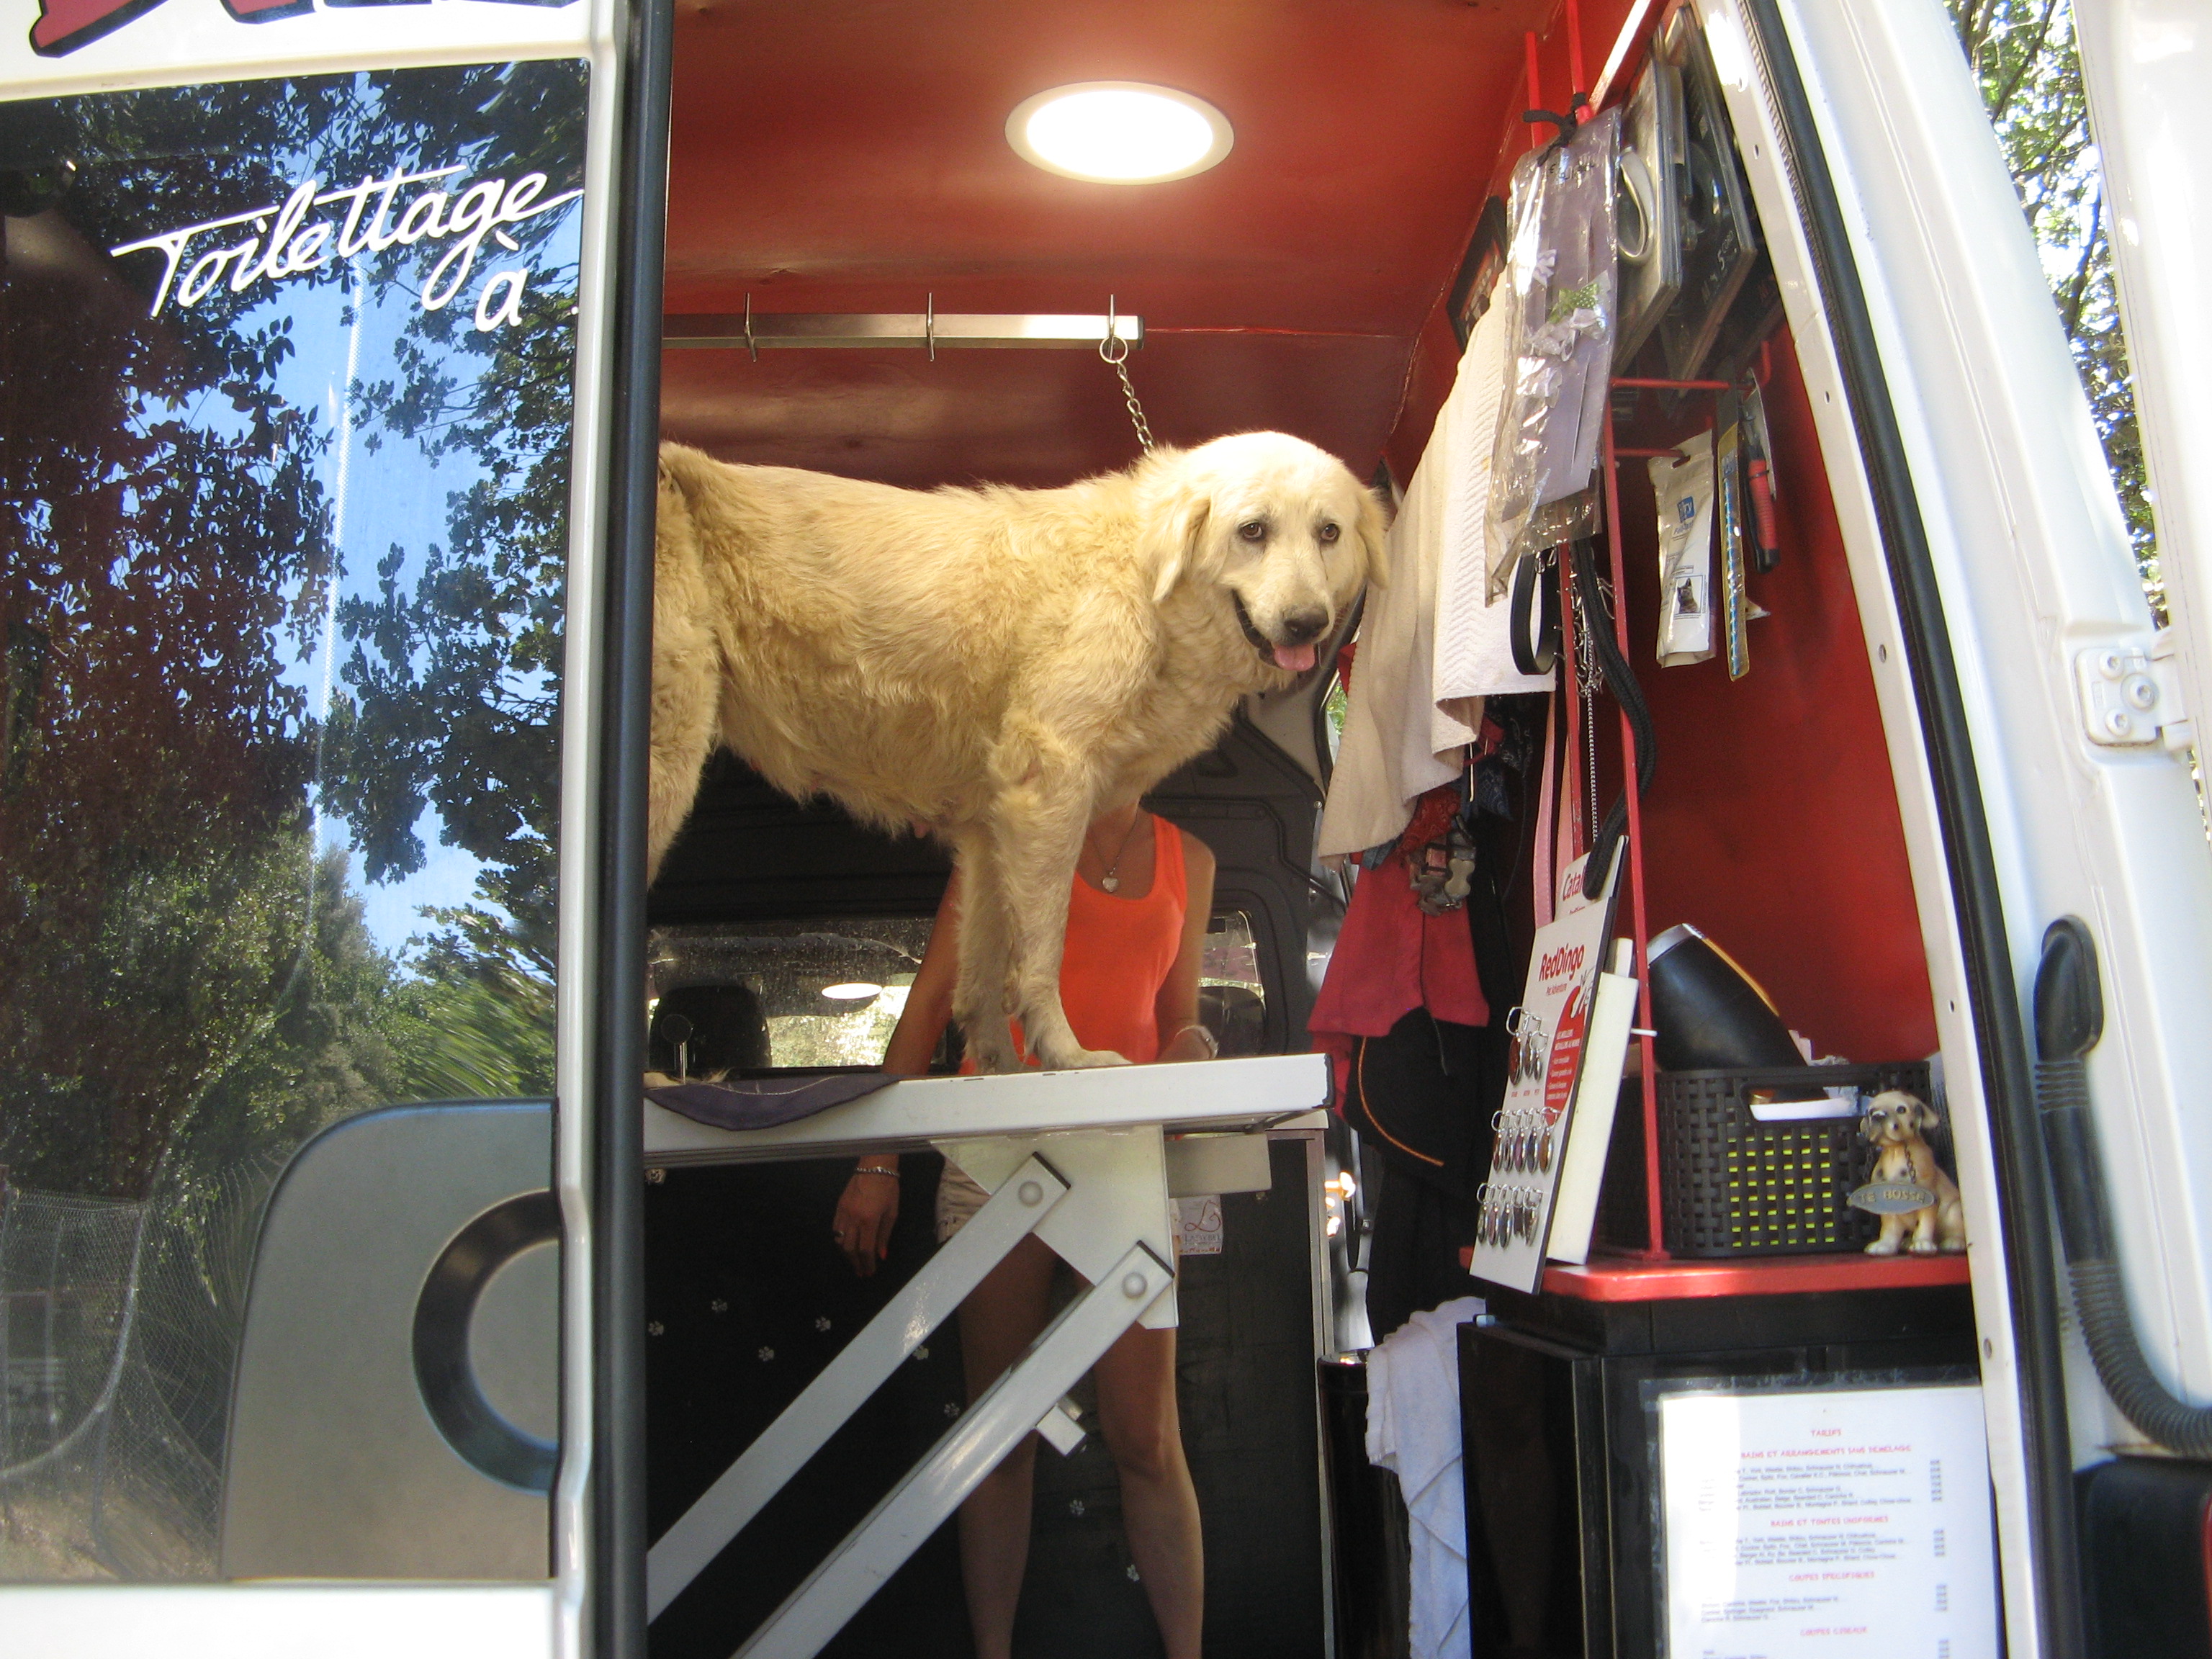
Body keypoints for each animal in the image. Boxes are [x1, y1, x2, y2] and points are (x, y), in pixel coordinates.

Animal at [646, 436, 1389, 1070]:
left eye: (1328, 533)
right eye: (1253, 531)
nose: (1308, 625)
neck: (1146, 584)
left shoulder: (987, 830)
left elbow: (981, 977)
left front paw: (996, 1071)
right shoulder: (1048, 783)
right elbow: (1041, 955)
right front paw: (1067, 1057)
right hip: (666, 759)